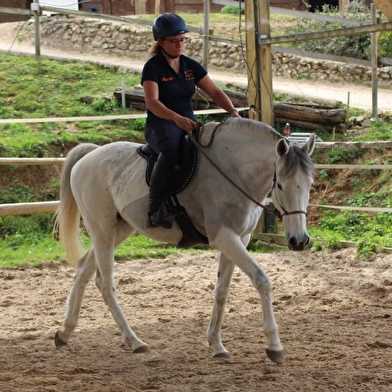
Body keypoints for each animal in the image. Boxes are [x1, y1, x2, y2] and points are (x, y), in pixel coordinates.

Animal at [53, 117, 316, 364]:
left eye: (310, 185)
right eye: (280, 185)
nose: (299, 241)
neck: (234, 171)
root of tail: (89, 157)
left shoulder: (239, 238)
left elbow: (221, 291)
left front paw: (216, 345)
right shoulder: (224, 236)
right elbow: (261, 280)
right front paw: (274, 346)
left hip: (118, 230)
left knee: (84, 269)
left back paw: (65, 332)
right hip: (102, 229)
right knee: (105, 283)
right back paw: (134, 340)